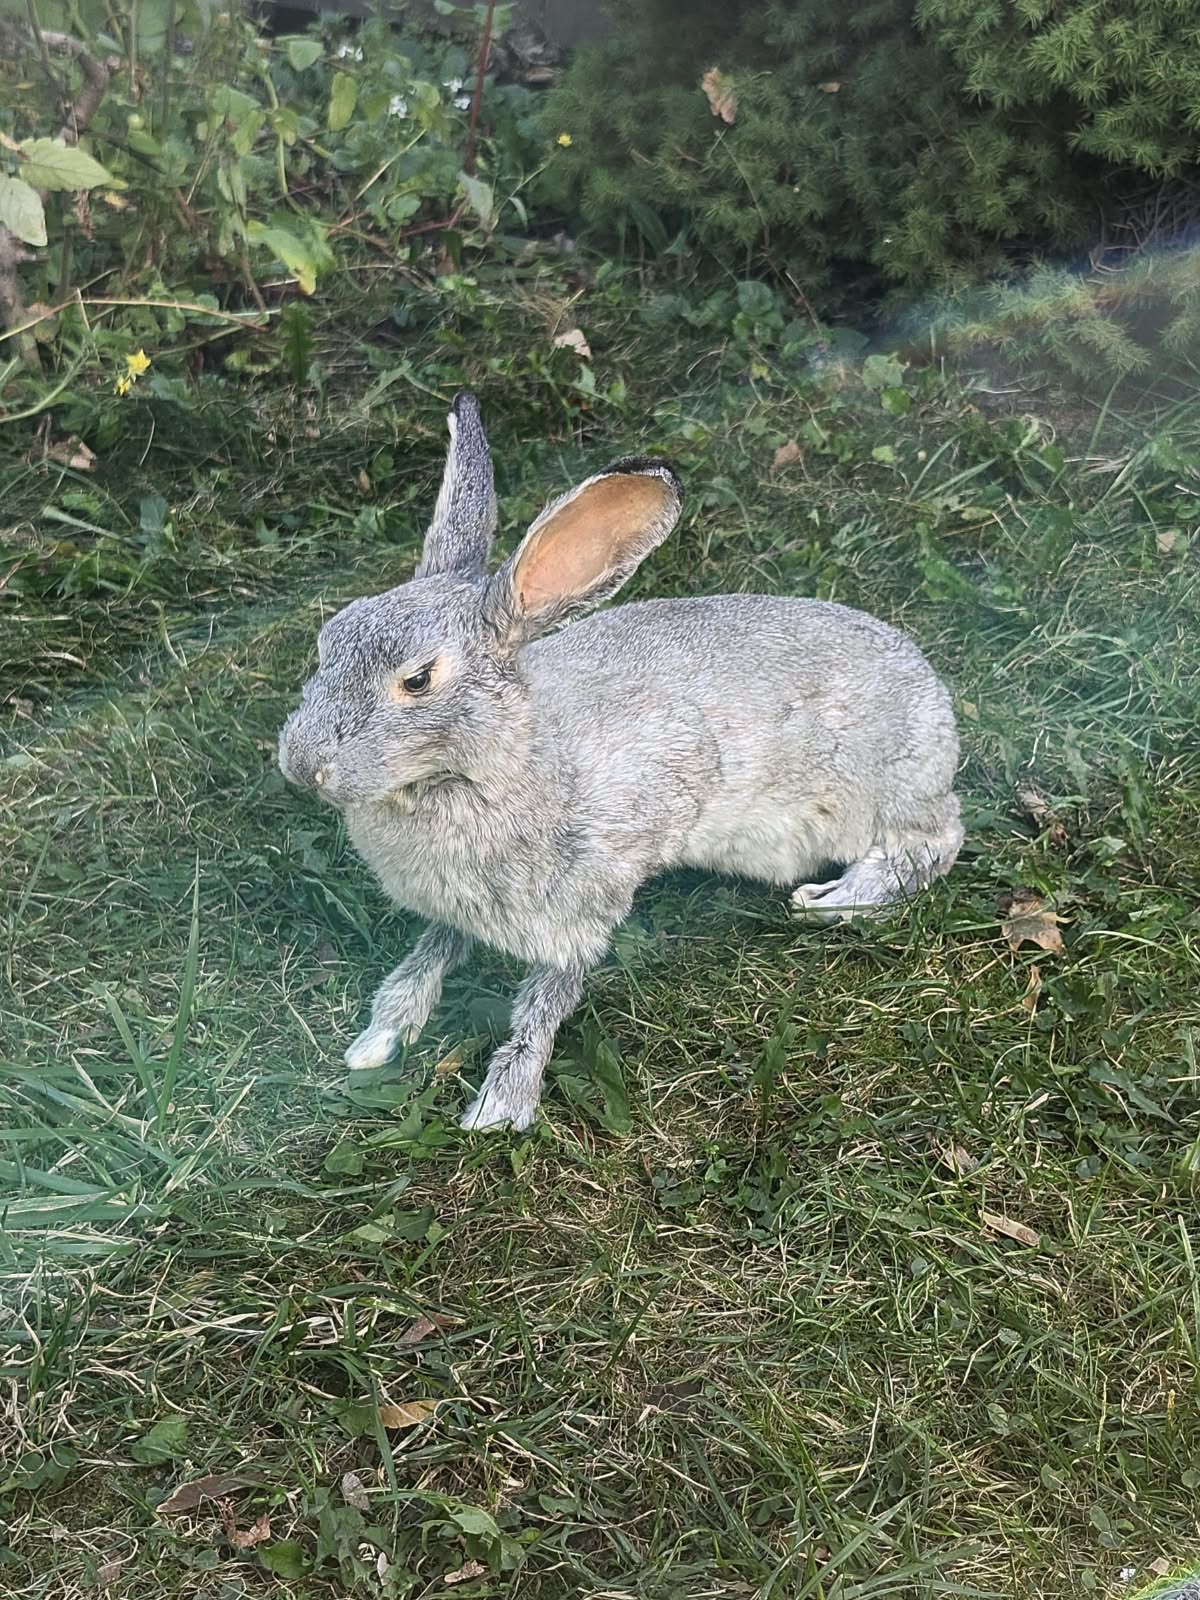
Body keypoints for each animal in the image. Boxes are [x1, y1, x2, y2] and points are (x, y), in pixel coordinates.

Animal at [278, 393, 963, 1133]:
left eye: (418, 680)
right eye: (329, 638)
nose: (301, 765)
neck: (509, 762)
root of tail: (932, 693)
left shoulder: (581, 912)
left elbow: (542, 1006)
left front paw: (499, 1107)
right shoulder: (458, 913)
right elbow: (425, 959)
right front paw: (376, 1041)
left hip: (877, 797)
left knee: (934, 842)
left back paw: (832, 900)